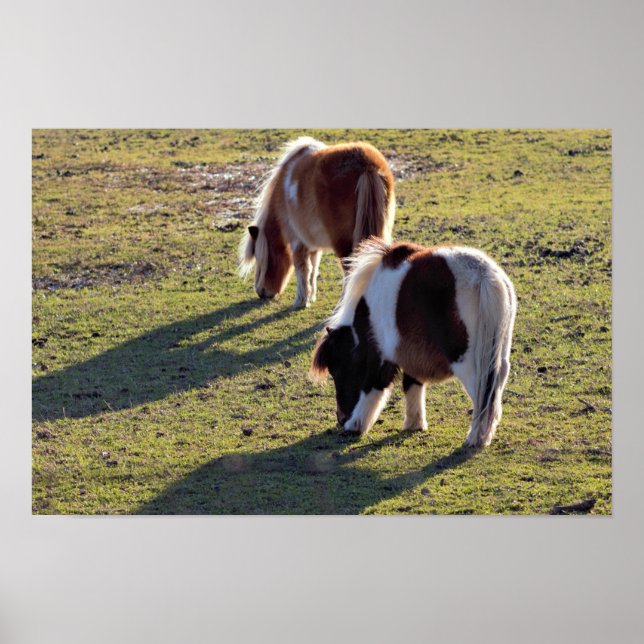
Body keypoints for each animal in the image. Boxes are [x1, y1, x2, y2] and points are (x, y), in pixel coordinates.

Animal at [238, 136, 395, 308]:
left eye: (259, 259)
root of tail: (367, 165)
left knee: (350, 270)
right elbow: (314, 268)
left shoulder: (297, 241)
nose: (261, 292)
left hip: (343, 243)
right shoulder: (311, 243)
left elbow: (302, 268)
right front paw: (311, 296)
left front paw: (301, 300)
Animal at [310, 238, 517, 448]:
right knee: (494, 390)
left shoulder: (381, 356)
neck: (367, 310)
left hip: (467, 362)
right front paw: (414, 423)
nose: (341, 418)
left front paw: (356, 425)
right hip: (498, 357)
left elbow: (373, 387)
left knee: (482, 394)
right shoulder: (412, 352)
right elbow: (412, 384)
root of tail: (482, 274)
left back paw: (475, 438)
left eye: (337, 370)